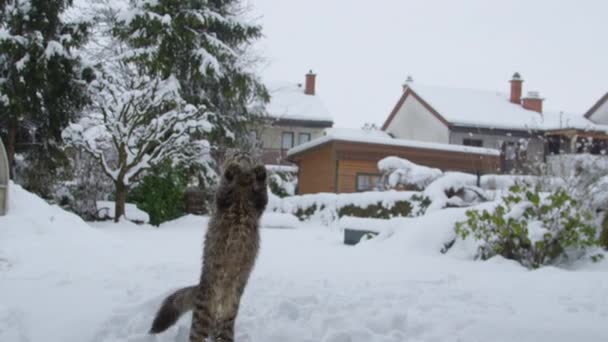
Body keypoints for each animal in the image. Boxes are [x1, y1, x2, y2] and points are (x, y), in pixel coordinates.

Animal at [148, 153, 268, 342]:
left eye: (248, 156)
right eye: (237, 154)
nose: (242, 156)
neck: (242, 190)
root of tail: (199, 287)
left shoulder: (258, 205)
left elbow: (262, 192)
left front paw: (260, 172)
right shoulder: (222, 200)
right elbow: (225, 185)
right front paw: (232, 169)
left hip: (226, 323)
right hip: (203, 316)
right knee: (196, 336)